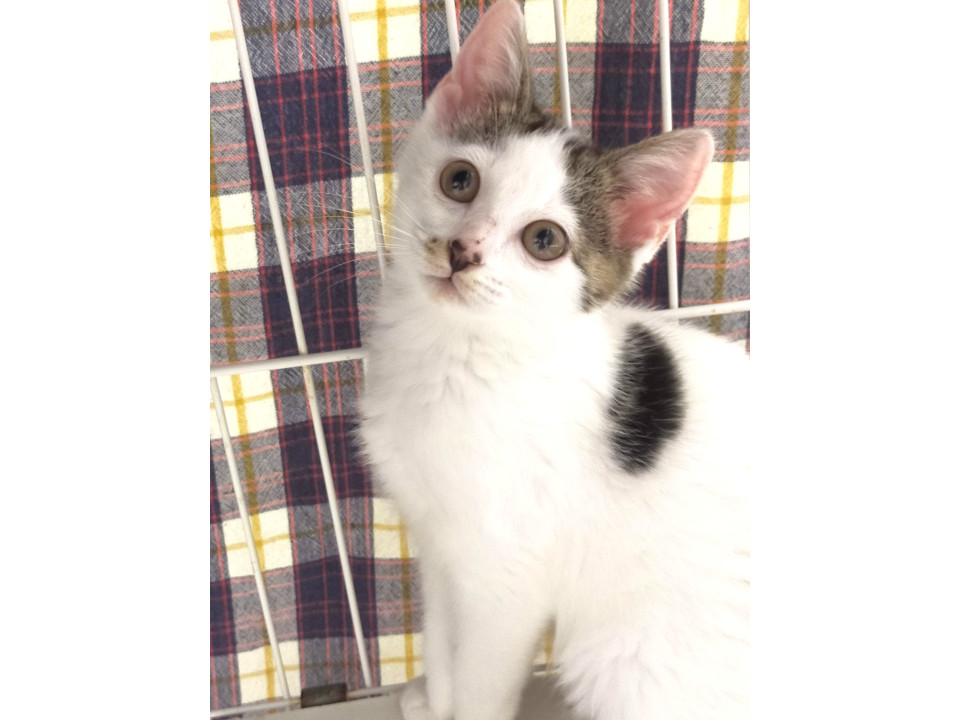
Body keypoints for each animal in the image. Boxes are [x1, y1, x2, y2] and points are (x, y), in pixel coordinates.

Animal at [357, 1, 749, 719]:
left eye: (545, 240)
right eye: (460, 180)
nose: (462, 251)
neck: (458, 356)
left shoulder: (506, 579)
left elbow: (482, 683)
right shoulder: (437, 543)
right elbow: (441, 640)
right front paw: (435, 702)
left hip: (630, 660)